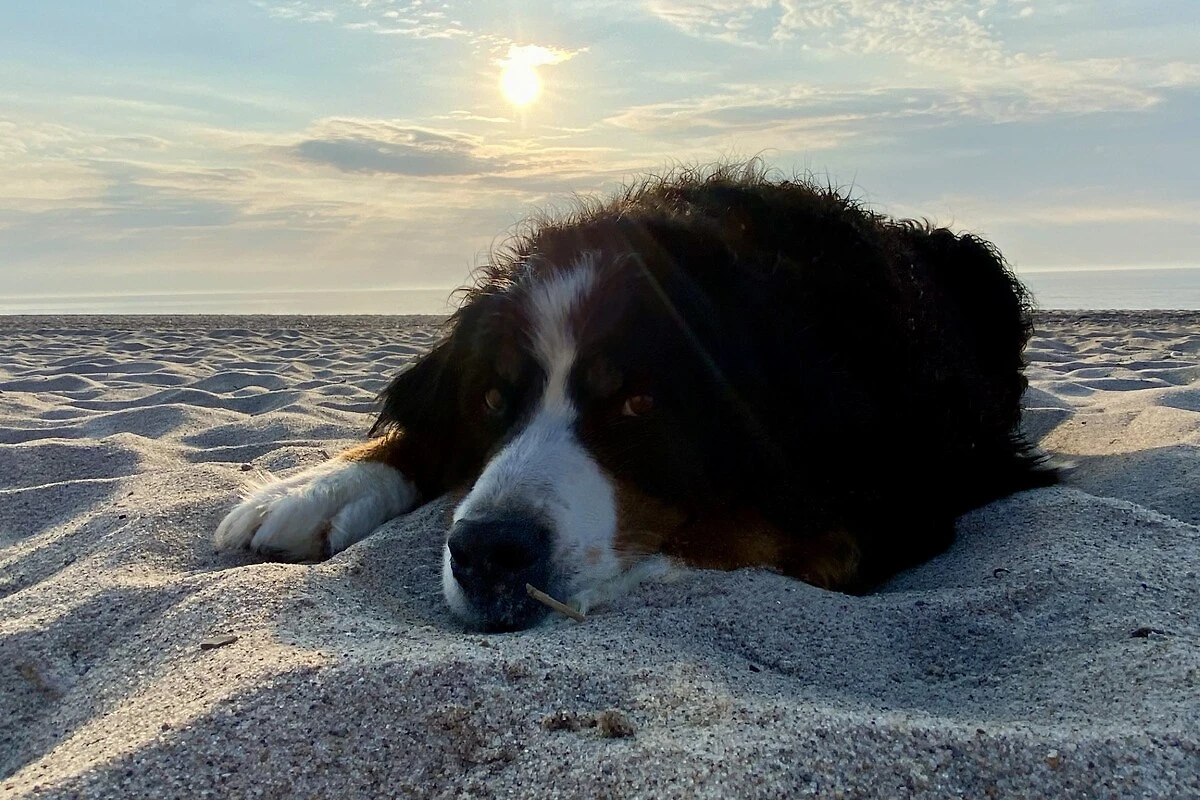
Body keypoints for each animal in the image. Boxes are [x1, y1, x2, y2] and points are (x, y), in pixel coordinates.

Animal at [215, 163, 1056, 631]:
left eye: (639, 404)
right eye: (491, 400)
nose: (488, 552)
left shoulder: (905, 489)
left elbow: (747, 537)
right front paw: (311, 489)